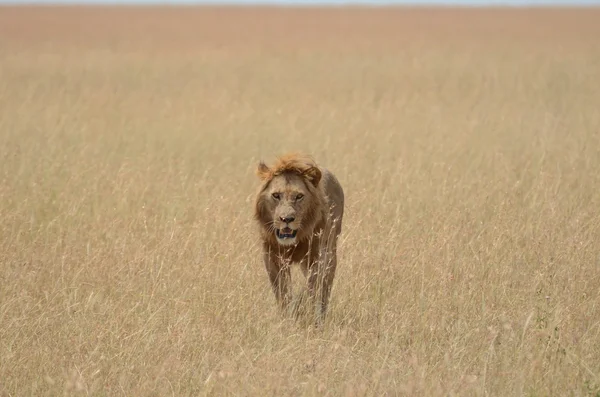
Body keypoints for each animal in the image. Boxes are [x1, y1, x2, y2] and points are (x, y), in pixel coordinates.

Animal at [253, 152, 344, 322]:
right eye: (276, 195)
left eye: (299, 196)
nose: (286, 219)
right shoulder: (272, 257)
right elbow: (282, 293)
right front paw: (287, 317)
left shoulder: (319, 256)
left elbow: (311, 285)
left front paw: (301, 308)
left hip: (331, 250)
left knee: (324, 288)